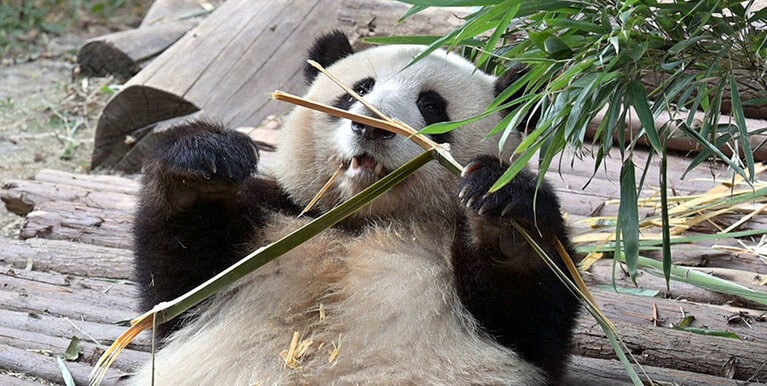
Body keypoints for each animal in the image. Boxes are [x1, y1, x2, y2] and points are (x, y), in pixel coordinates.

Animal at [132, 30, 580, 386]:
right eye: (360, 90)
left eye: (432, 105)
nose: (371, 126)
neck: (360, 219)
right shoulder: (276, 215)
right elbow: (176, 295)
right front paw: (202, 165)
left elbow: (531, 322)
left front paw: (503, 214)